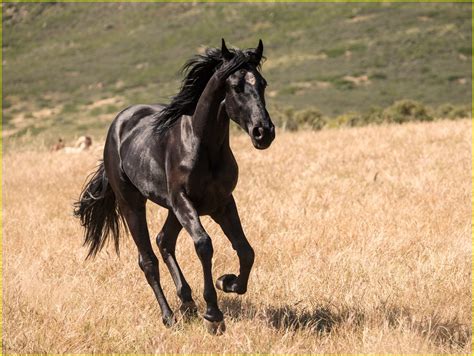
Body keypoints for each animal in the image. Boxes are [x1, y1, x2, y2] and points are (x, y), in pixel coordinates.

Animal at [74, 40, 274, 336]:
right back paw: (169, 316)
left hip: (172, 209)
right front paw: (213, 315)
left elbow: (246, 250)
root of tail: (119, 124)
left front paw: (227, 282)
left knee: (163, 240)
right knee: (147, 259)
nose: (264, 133)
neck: (203, 147)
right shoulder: (184, 201)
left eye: (262, 83)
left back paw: (187, 301)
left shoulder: (222, 203)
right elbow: (204, 245)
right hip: (132, 203)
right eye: (236, 86)